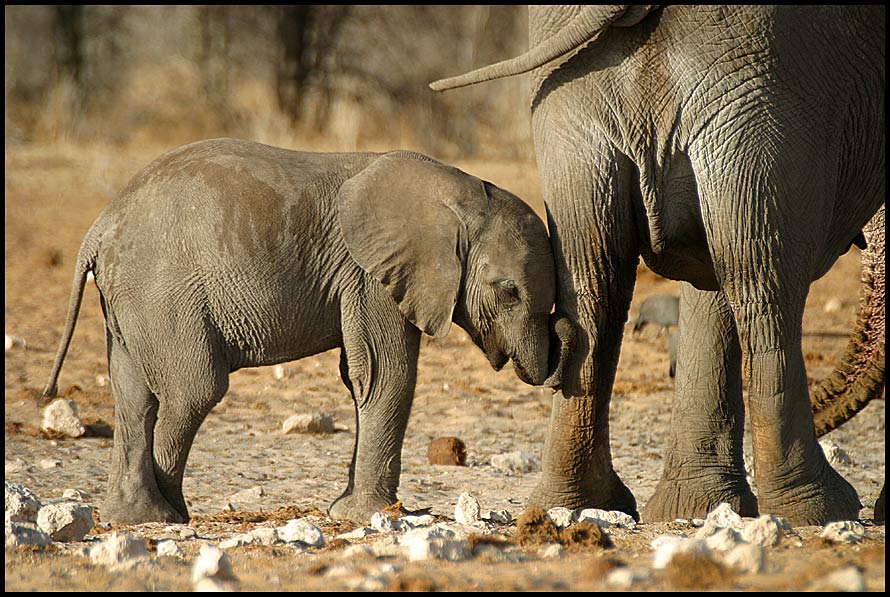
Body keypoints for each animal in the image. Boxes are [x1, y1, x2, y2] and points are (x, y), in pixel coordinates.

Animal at [43, 139, 556, 520]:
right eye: (509, 291)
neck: (459, 192)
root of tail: (98, 227)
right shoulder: (369, 274)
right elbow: (385, 375)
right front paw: (369, 516)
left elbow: (362, 377)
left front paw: (343, 511)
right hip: (161, 294)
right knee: (194, 389)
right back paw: (169, 515)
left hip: (130, 303)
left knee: (133, 397)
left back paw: (133, 517)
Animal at [430, 7, 880, 524]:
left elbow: (705, 281)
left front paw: (698, 506)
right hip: (770, 86)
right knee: (764, 284)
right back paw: (824, 509)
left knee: (602, 283)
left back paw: (579, 506)